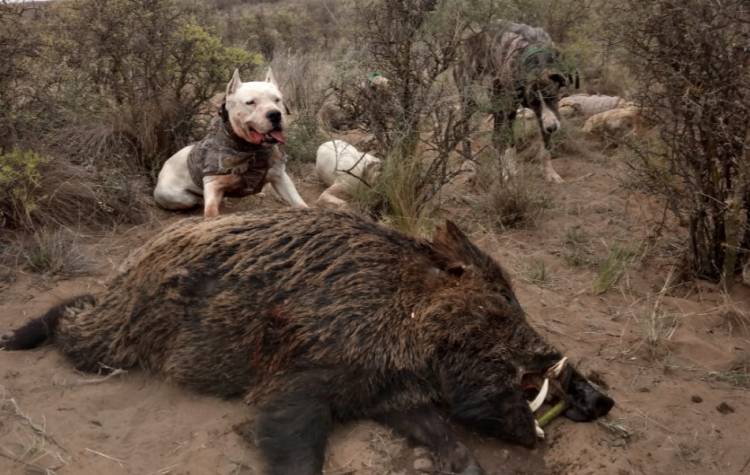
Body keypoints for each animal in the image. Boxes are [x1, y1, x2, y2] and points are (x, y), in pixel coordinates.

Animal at [154, 68, 306, 218]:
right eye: (250, 102)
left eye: (277, 99)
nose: (275, 114)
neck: (251, 148)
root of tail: (163, 168)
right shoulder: (212, 184)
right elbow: (211, 211)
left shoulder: (280, 177)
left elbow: (300, 204)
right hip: (178, 196)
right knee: (192, 199)